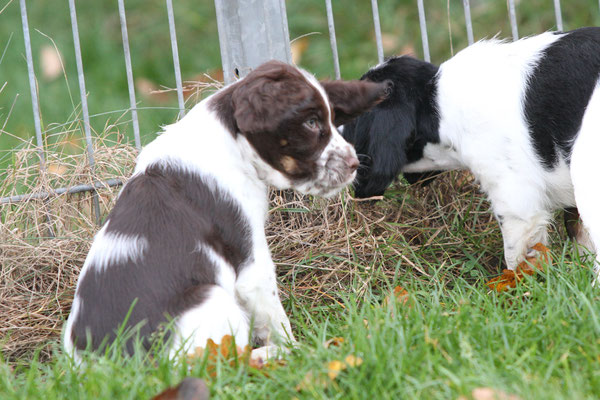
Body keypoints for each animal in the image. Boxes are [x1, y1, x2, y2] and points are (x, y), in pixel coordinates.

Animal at [62, 60, 390, 362]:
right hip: (212, 298)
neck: (232, 145)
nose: (354, 164)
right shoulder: (251, 260)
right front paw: (301, 351)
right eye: (311, 123)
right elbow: (276, 319)